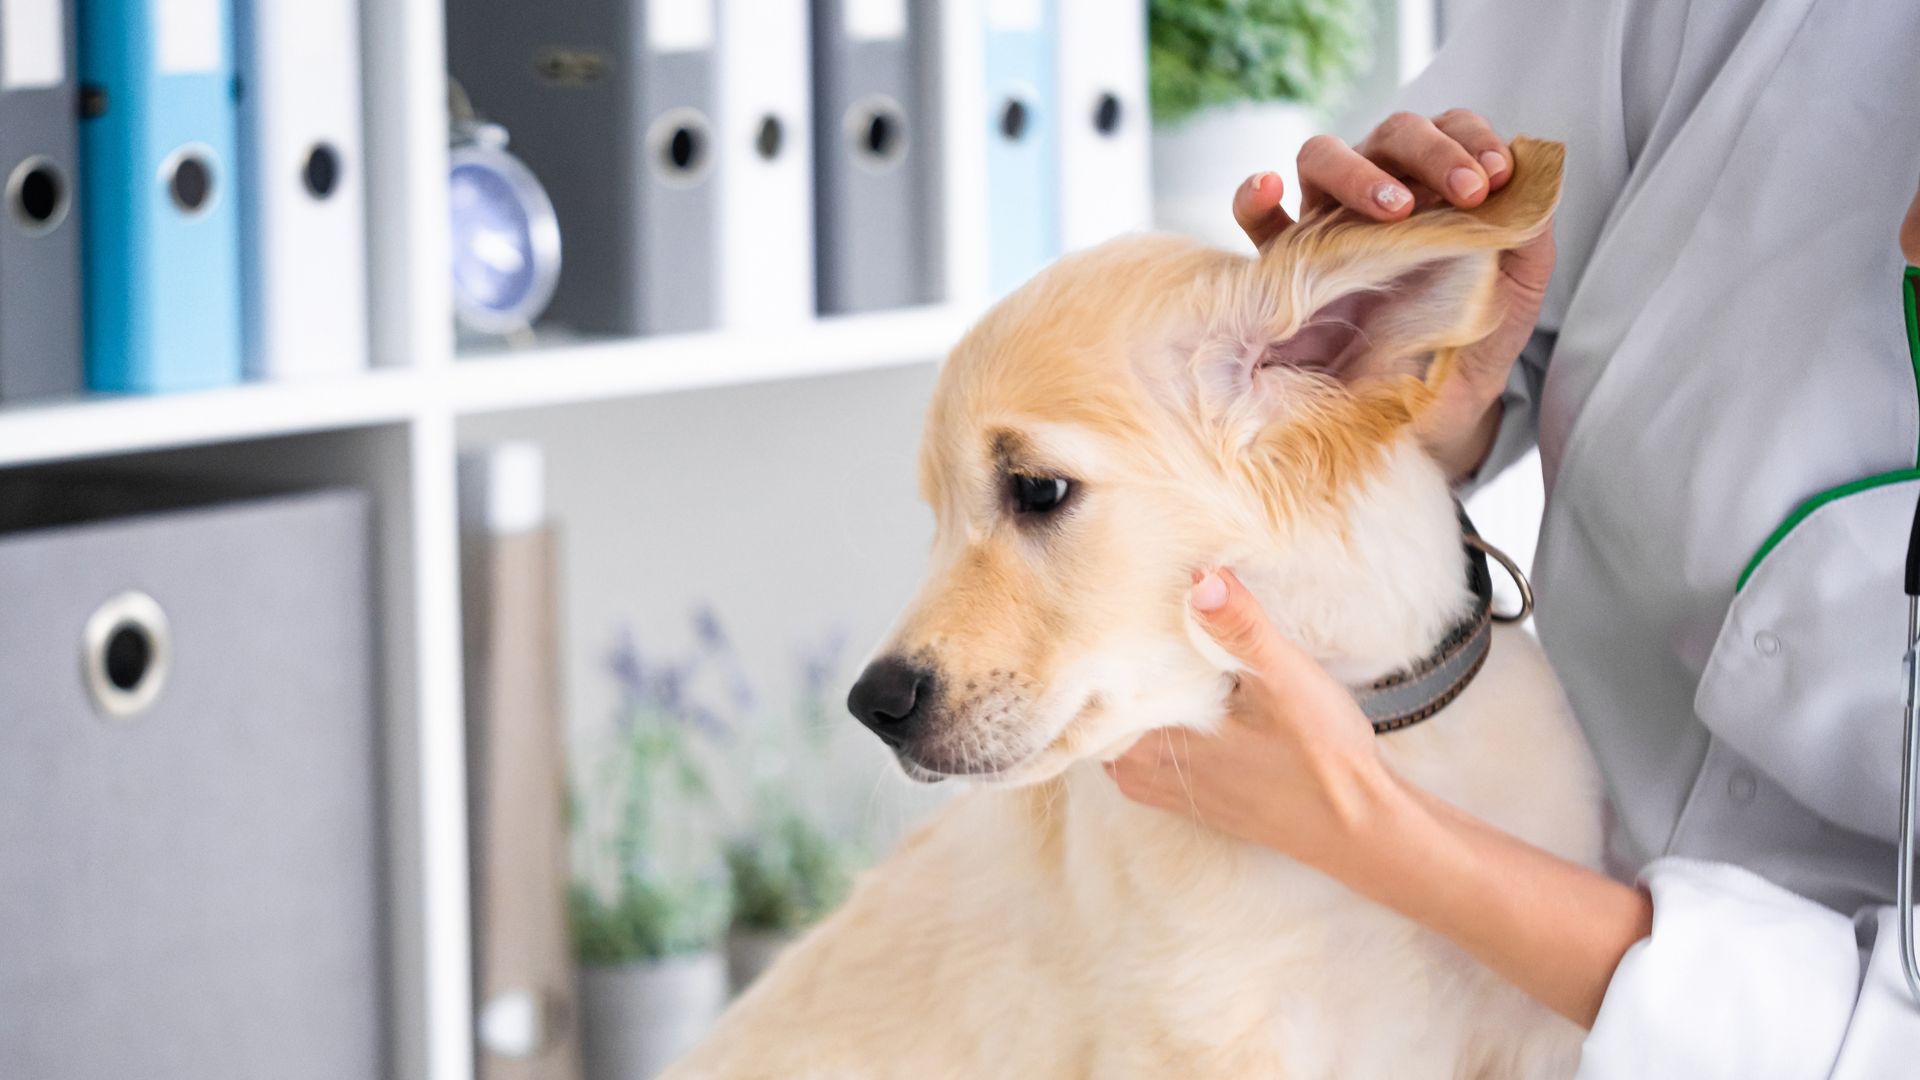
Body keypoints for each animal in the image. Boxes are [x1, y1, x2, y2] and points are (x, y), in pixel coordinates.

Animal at [668, 138, 1597, 1068]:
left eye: (1037, 488)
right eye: (936, 517)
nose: (874, 705)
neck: (1393, 741)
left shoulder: (1536, 1037)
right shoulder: (1202, 1030)